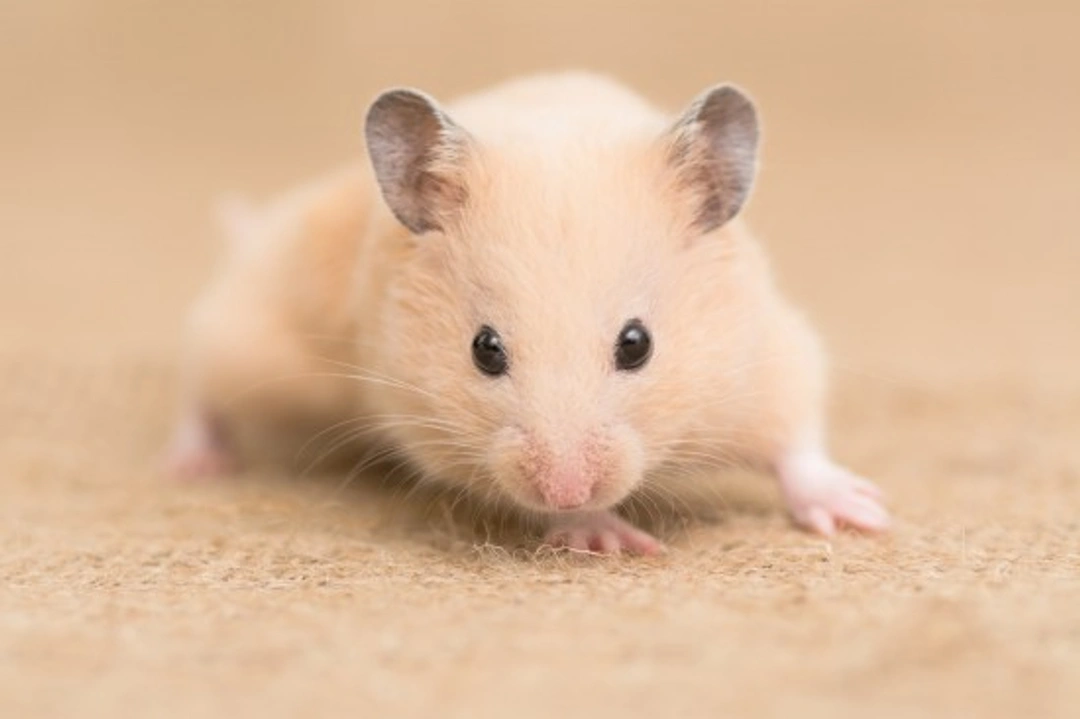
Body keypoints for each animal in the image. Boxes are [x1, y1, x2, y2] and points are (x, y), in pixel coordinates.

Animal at [167, 72, 889, 555]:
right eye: (484, 349)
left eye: (637, 343)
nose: (567, 488)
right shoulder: (438, 433)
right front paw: (606, 537)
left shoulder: (767, 354)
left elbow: (798, 443)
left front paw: (865, 513)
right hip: (259, 346)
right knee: (202, 381)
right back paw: (195, 464)